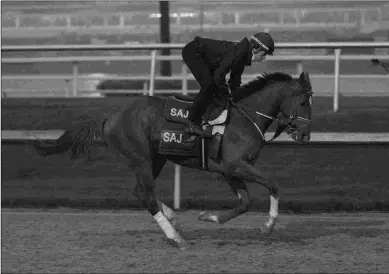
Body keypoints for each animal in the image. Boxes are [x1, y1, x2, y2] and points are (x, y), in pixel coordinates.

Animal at [32, 71, 312, 250]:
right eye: (302, 101)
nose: (305, 135)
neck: (245, 117)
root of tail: (112, 115)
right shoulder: (235, 165)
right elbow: (273, 184)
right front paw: (268, 226)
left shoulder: (228, 170)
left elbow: (245, 203)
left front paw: (209, 217)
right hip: (141, 158)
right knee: (146, 195)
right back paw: (177, 238)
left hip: (156, 159)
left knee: (141, 192)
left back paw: (173, 221)